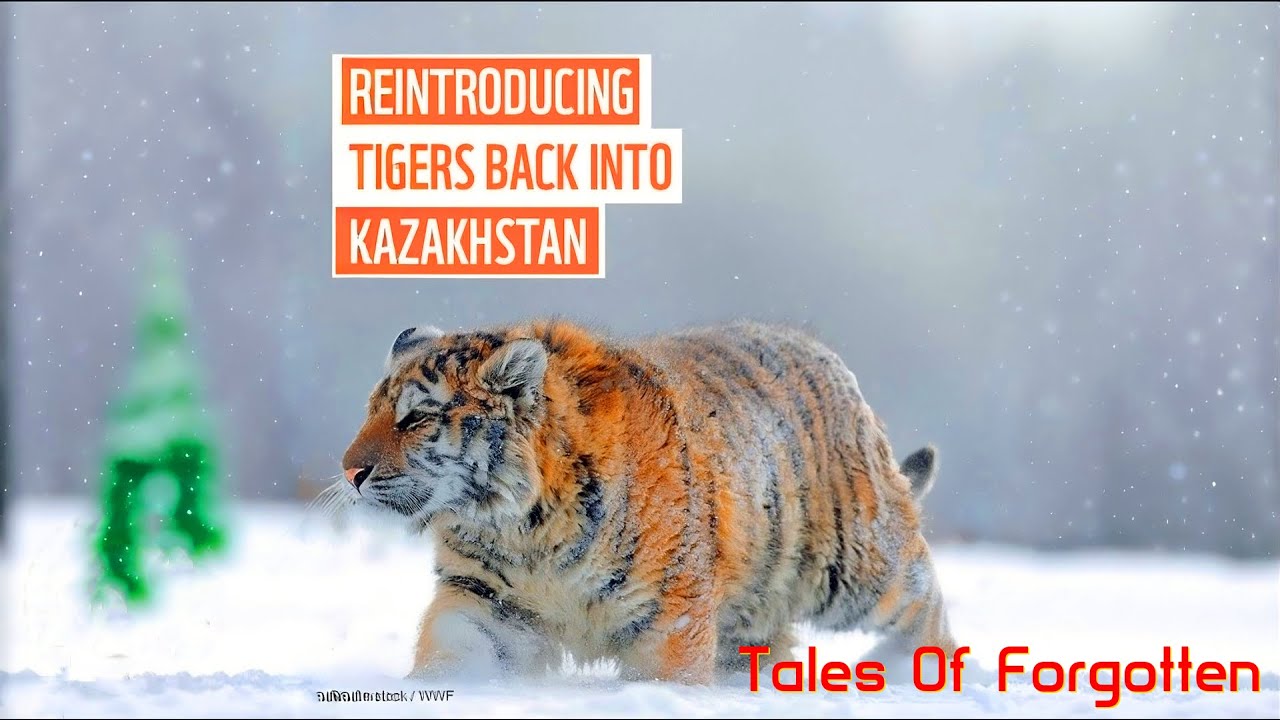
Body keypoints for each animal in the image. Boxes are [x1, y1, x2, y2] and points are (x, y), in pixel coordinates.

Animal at [330, 318, 957, 684]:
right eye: (371, 409)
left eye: (416, 417)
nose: (349, 470)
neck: (519, 528)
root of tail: (832, 361)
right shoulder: (484, 598)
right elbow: (453, 655)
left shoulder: (670, 615)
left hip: (856, 567)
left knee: (924, 598)